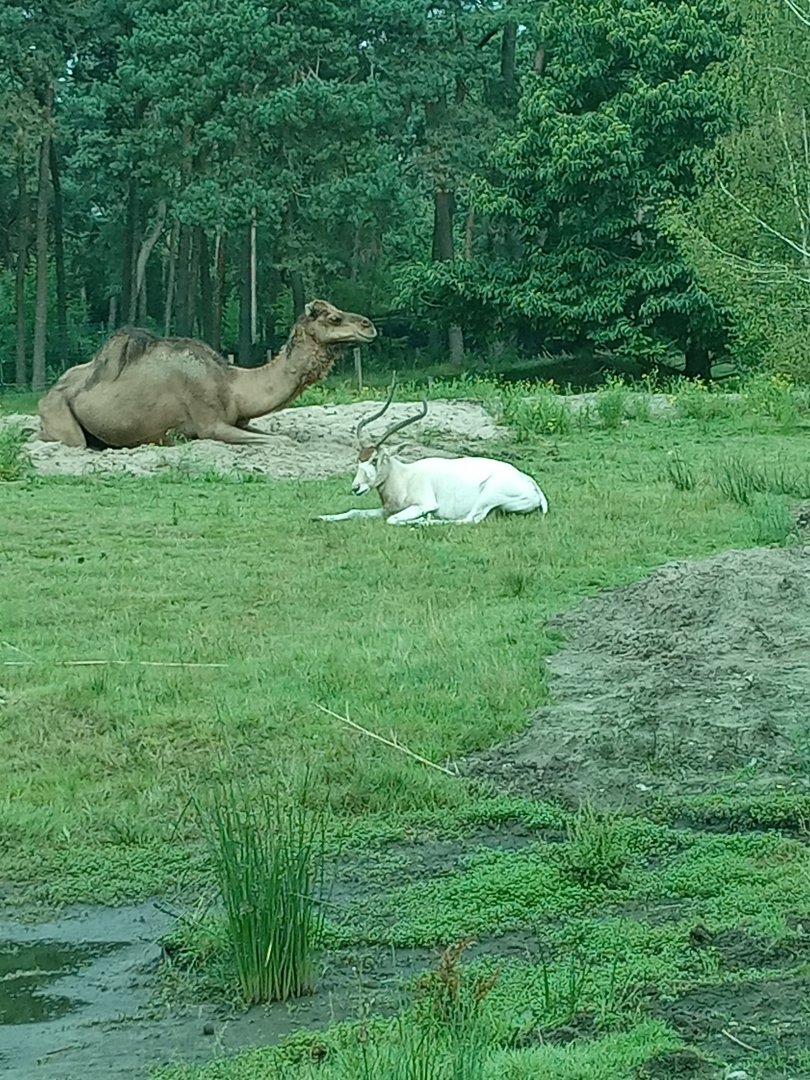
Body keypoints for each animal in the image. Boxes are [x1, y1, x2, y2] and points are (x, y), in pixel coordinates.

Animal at [37, 299, 377, 449]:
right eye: (333, 317)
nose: (369, 325)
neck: (233, 385)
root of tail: (48, 392)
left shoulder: (239, 421)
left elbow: (277, 435)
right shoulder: (210, 424)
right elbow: (282, 440)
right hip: (58, 413)